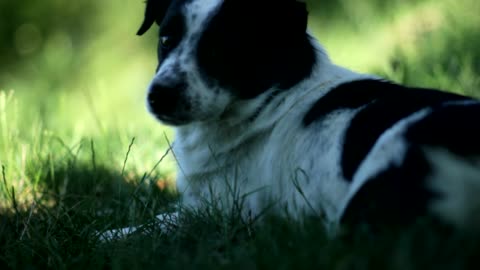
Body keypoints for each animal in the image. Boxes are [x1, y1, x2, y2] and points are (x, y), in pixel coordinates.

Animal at [98, 0, 480, 240]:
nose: (159, 95)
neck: (272, 99)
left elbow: (154, 223)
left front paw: (108, 235)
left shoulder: (224, 211)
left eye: (222, 49)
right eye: (165, 39)